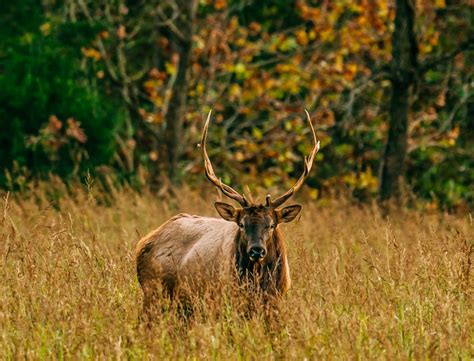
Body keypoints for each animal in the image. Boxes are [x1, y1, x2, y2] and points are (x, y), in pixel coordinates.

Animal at [134, 109, 318, 310]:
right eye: (242, 225)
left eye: (271, 225)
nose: (256, 251)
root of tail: (143, 242)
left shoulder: (276, 301)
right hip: (152, 292)